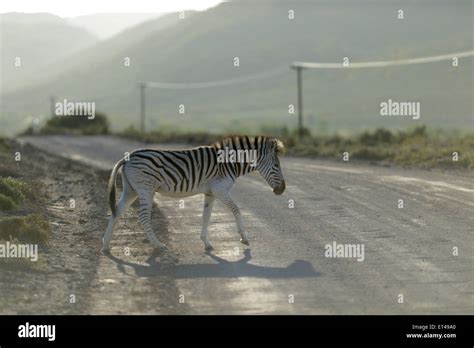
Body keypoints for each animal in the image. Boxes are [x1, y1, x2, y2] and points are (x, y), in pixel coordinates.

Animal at [103, 136, 286, 253]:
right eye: (276, 165)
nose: (282, 190)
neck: (228, 162)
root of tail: (127, 157)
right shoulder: (220, 189)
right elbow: (236, 210)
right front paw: (244, 238)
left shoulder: (210, 193)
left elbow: (206, 217)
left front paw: (206, 243)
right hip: (145, 189)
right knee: (142, 217)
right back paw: (158, 245)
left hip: (131, 190)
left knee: (116, 212)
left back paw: (105, 246)